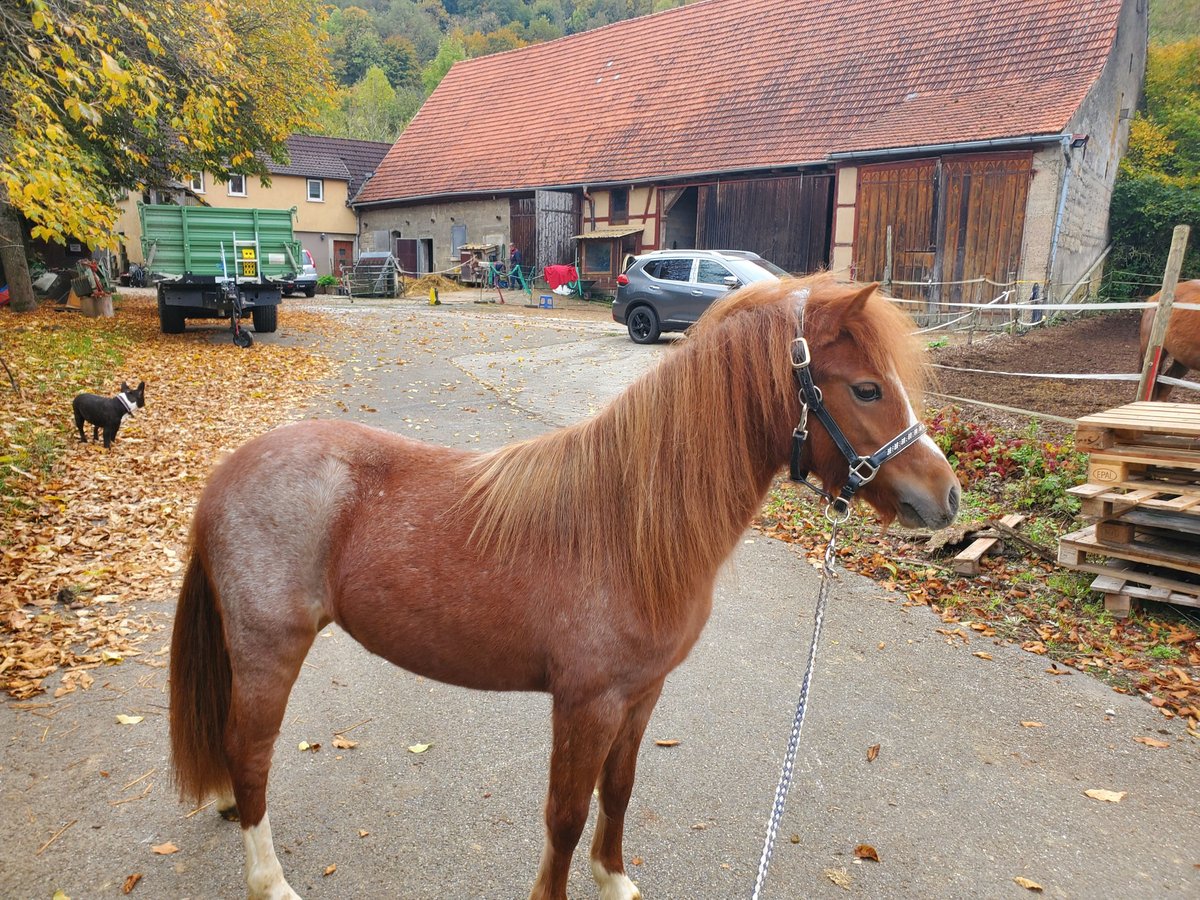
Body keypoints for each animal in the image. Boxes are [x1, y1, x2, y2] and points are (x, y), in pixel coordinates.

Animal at [169, 275, 960, 900]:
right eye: (866, 388)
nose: (946, 498)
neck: (626, 525)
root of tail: (223, 477)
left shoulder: (641, 694)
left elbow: (620, 789)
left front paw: (614, 878)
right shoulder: (587, 703)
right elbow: (566, 816)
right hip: (271, 649)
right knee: (250, 753)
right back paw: (268, 881)